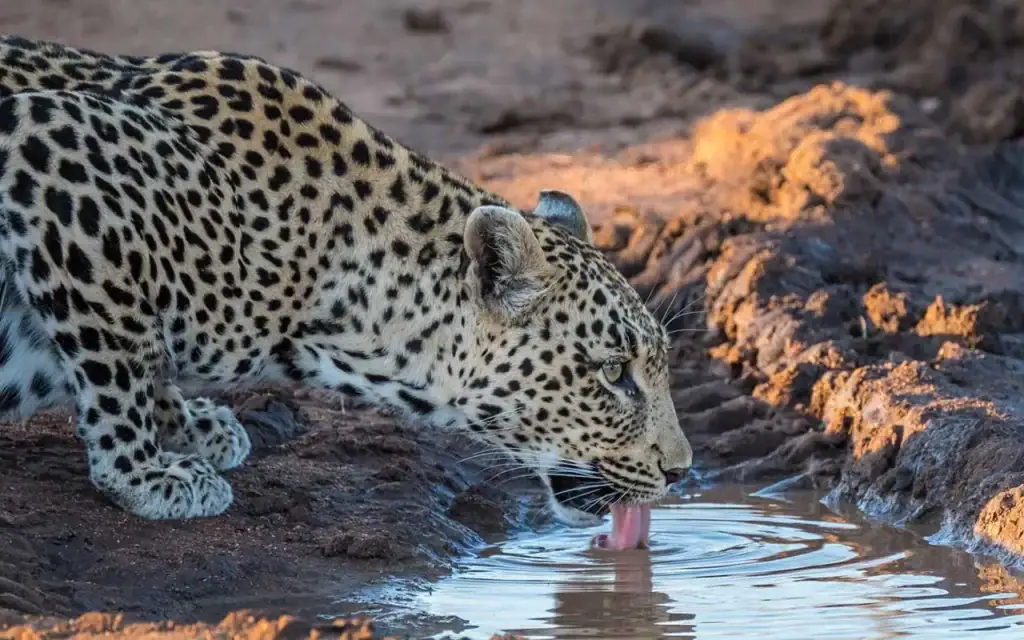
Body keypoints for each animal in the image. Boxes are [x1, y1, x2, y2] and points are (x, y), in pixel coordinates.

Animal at [0, 35, 692, 525]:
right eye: (613, 373)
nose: (682, 473)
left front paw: (191, 427)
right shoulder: (47, 143)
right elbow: (120, 361)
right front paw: (142, 474)